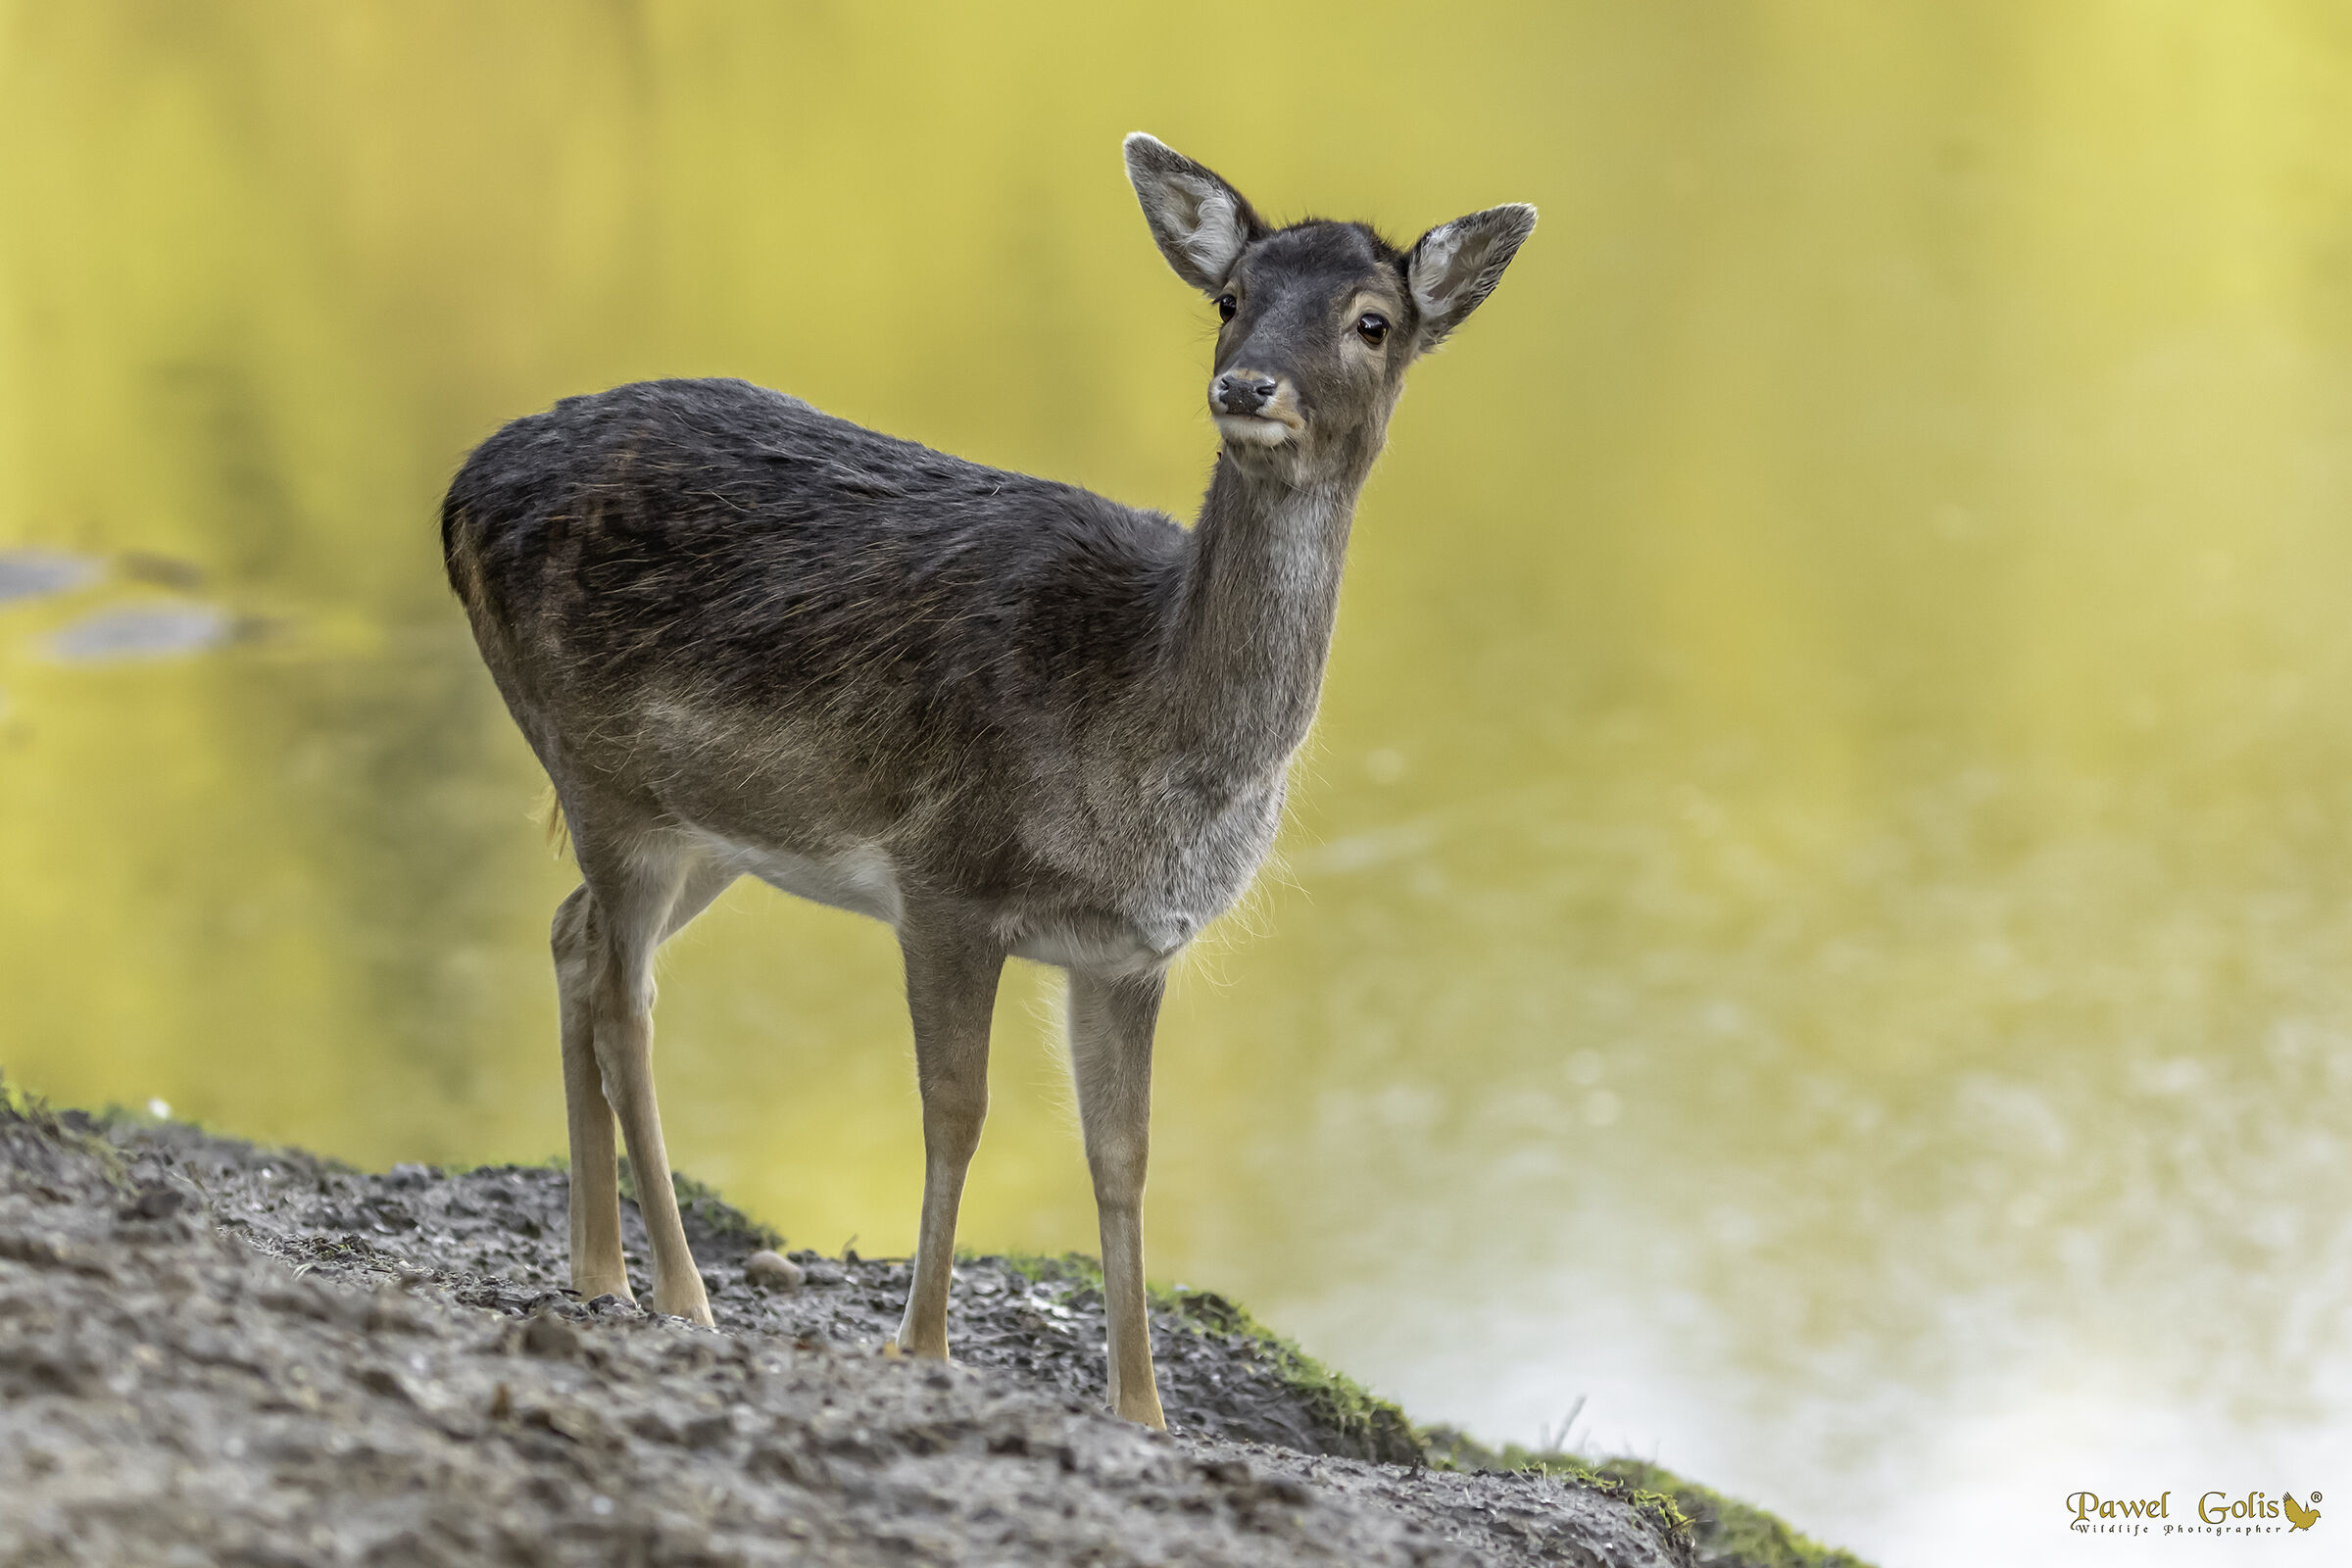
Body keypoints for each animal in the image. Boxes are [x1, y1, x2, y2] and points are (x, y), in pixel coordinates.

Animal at [440, 133, 1533, 1428]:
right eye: (1230, 299)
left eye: (1373, 321)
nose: (1248, 388)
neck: (1143, 751)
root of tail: (459, 487)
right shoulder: (946, 878)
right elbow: (955, 1111)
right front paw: (919, 1345)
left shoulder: (1134, 949)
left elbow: (1124, 1156)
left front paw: (1142, 1408)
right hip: (601, 764)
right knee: (625, 998)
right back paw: (682, 1291)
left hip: (708, 820)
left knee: (573, 936)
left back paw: (597, 1268)